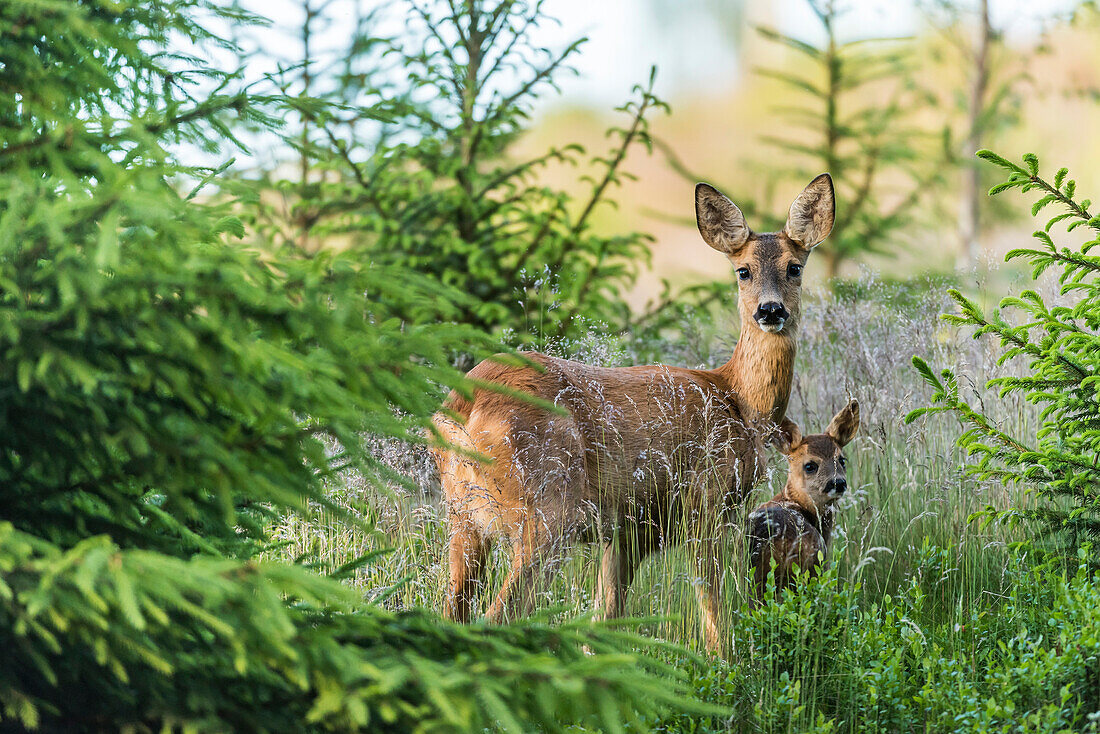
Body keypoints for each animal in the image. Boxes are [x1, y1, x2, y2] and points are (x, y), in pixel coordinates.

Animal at [429, 173, 831, 655]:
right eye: (743, 270)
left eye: (795, 267)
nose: (770, 310)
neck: (739, 399)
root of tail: (462, 409)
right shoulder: (705, 498)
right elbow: (713, 603)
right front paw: (723, 662)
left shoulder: (627, 529)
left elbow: (605, 619)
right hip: (548, 507)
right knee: (496, 615)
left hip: (463, 517)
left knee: (452, 611)